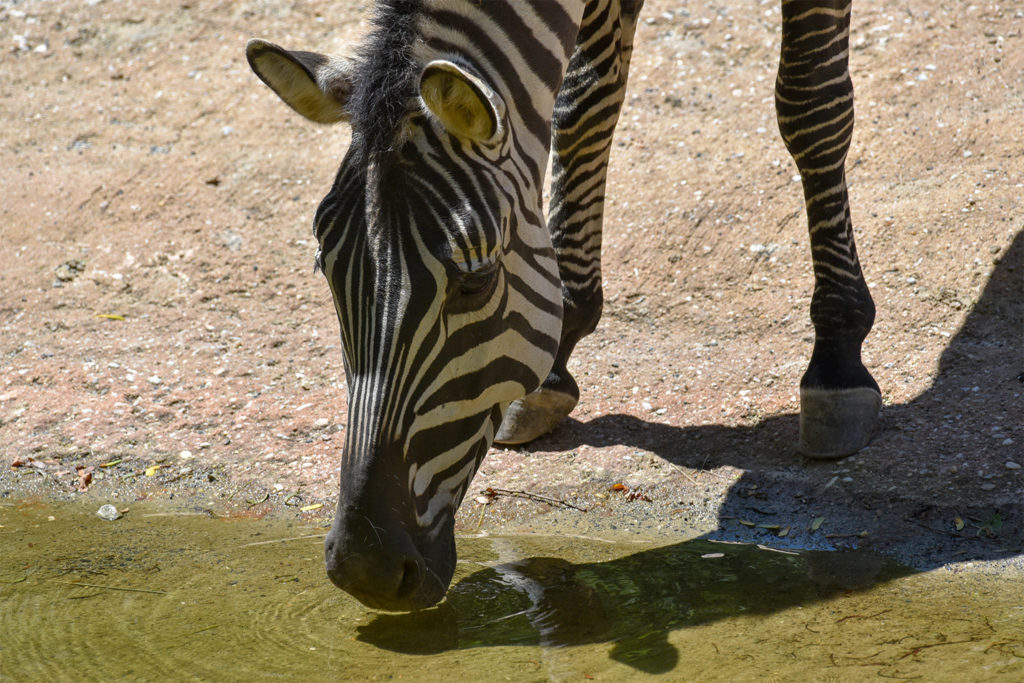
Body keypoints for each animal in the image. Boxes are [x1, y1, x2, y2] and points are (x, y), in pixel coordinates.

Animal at [245, 0, 880, 610]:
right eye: (325, 270)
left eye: (476, 283)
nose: (366, 571)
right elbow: (583, 104)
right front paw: (558, 355)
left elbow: (811, 102)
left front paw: (837, 355)